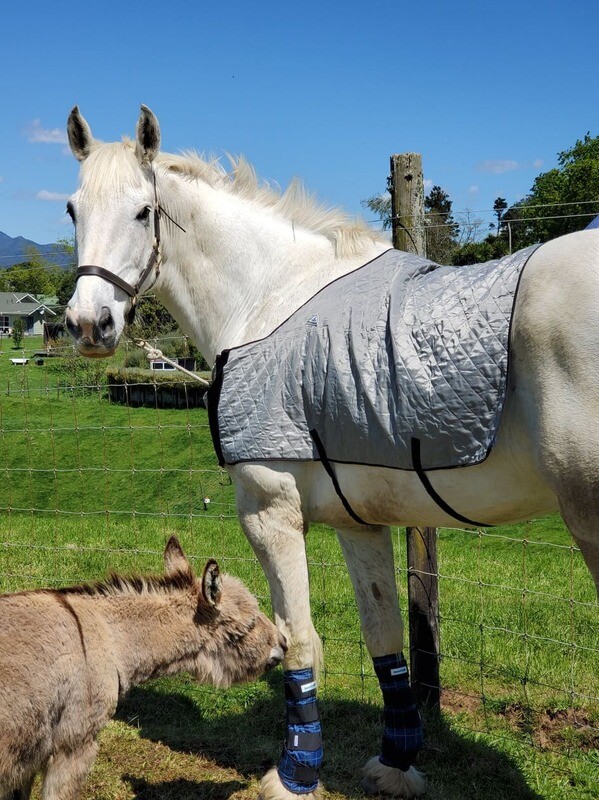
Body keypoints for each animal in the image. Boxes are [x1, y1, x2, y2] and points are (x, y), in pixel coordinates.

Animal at [64, 105, 599, 800]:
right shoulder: (359, 524)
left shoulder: (270, 514)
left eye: (142, 211)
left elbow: (297, 642)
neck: (271, 299)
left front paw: (295, 774)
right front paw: (395, 763)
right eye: (72, 209)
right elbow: (384, 640)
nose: (88, 325)